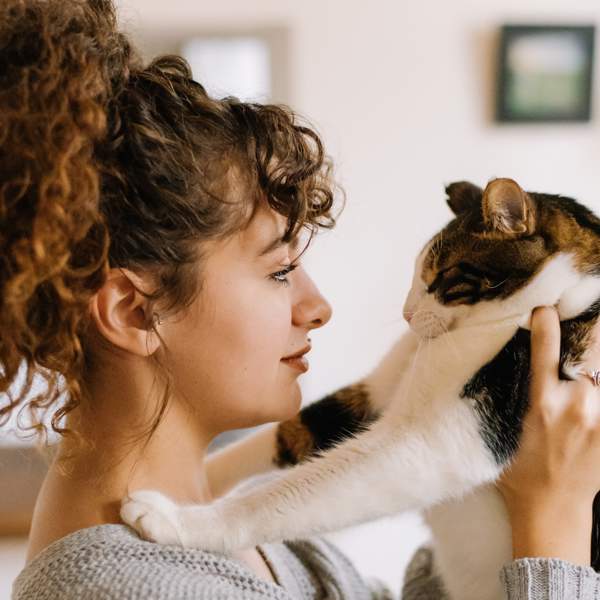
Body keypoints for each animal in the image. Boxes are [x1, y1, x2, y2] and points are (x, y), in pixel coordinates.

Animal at [120, 178, 600, 600]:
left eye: (441, 276)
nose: (407, 314)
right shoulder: (379, 391)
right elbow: (293, 431)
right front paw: (203, 475)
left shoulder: (452, 433)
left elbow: (297, 492)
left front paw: (175, 520)